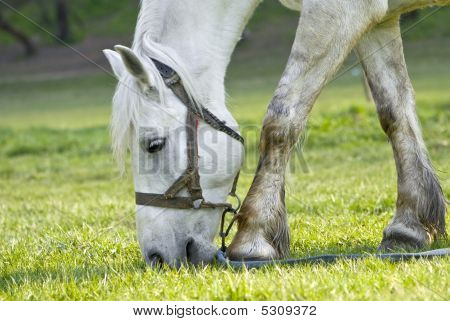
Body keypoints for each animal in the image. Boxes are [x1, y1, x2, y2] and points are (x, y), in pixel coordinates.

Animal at [104, 0, 446, 266]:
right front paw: (407, 227)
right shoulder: (378, 20)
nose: (156, 258)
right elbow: (393, 111)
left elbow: (281, 119)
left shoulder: (337, 13)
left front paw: (252, 238)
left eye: (153, 145)